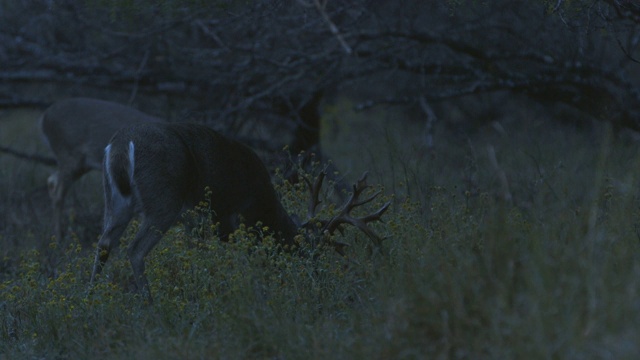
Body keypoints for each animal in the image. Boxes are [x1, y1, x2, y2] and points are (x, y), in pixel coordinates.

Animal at [39, 97, 162, 242]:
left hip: (80, 163)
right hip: (69, 153)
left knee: (52, 180)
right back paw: (59, 238)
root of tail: (44, 118)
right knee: (58, 193)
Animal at [91, 122, 390, 302]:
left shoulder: (198, 223)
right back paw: (149, 302)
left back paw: (89, 297)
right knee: (135, 250)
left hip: (116, 201)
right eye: (311, 253)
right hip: (163, 200)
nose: (320, 281)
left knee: (104, 243)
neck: (265, 206)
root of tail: (120, 145)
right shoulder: (239, 218)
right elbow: (250, 260)